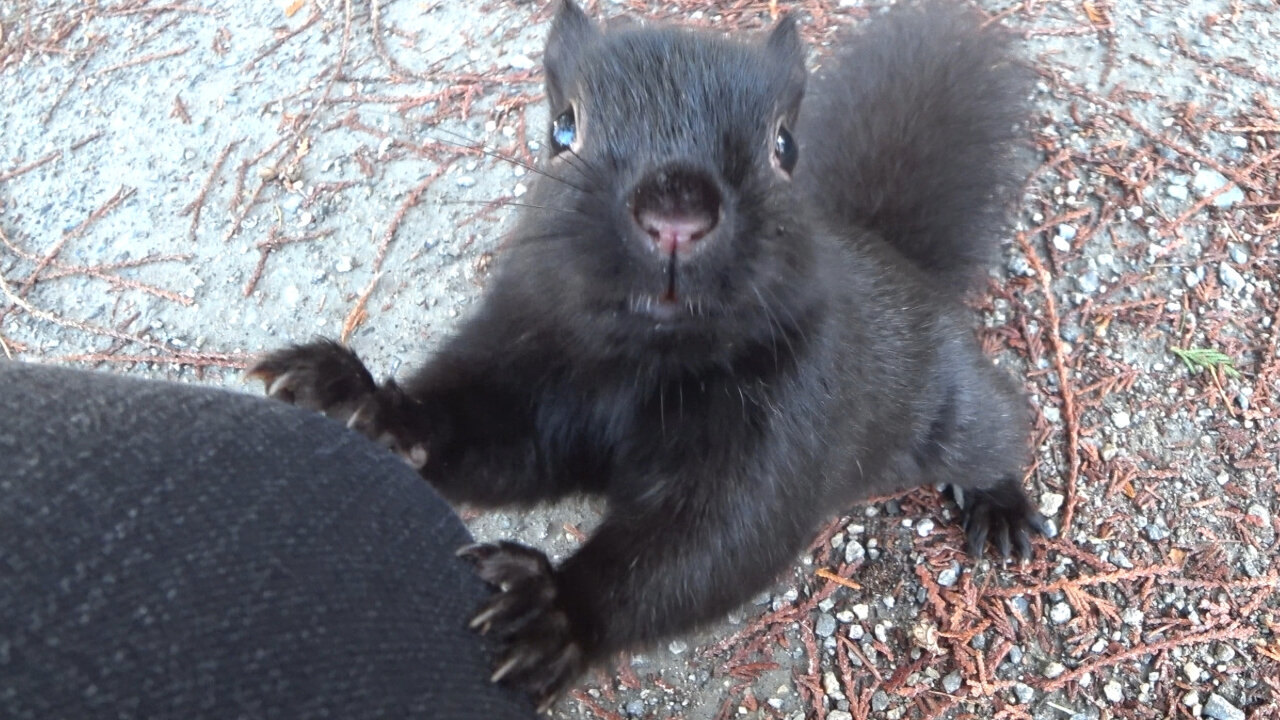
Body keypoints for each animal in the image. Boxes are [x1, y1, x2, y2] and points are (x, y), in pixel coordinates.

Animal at [252, 0, 1049, 707]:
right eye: (563, 127)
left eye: (783, 147)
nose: (675, 216)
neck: (641, 368)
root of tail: (904, 262)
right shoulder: (530, 372)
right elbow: (487, 440)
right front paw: (358, 400)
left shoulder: (790, 417)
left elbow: (713, 540)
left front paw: (553, 611)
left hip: (952, 406)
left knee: (1000, 428)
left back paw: (1001, 504)